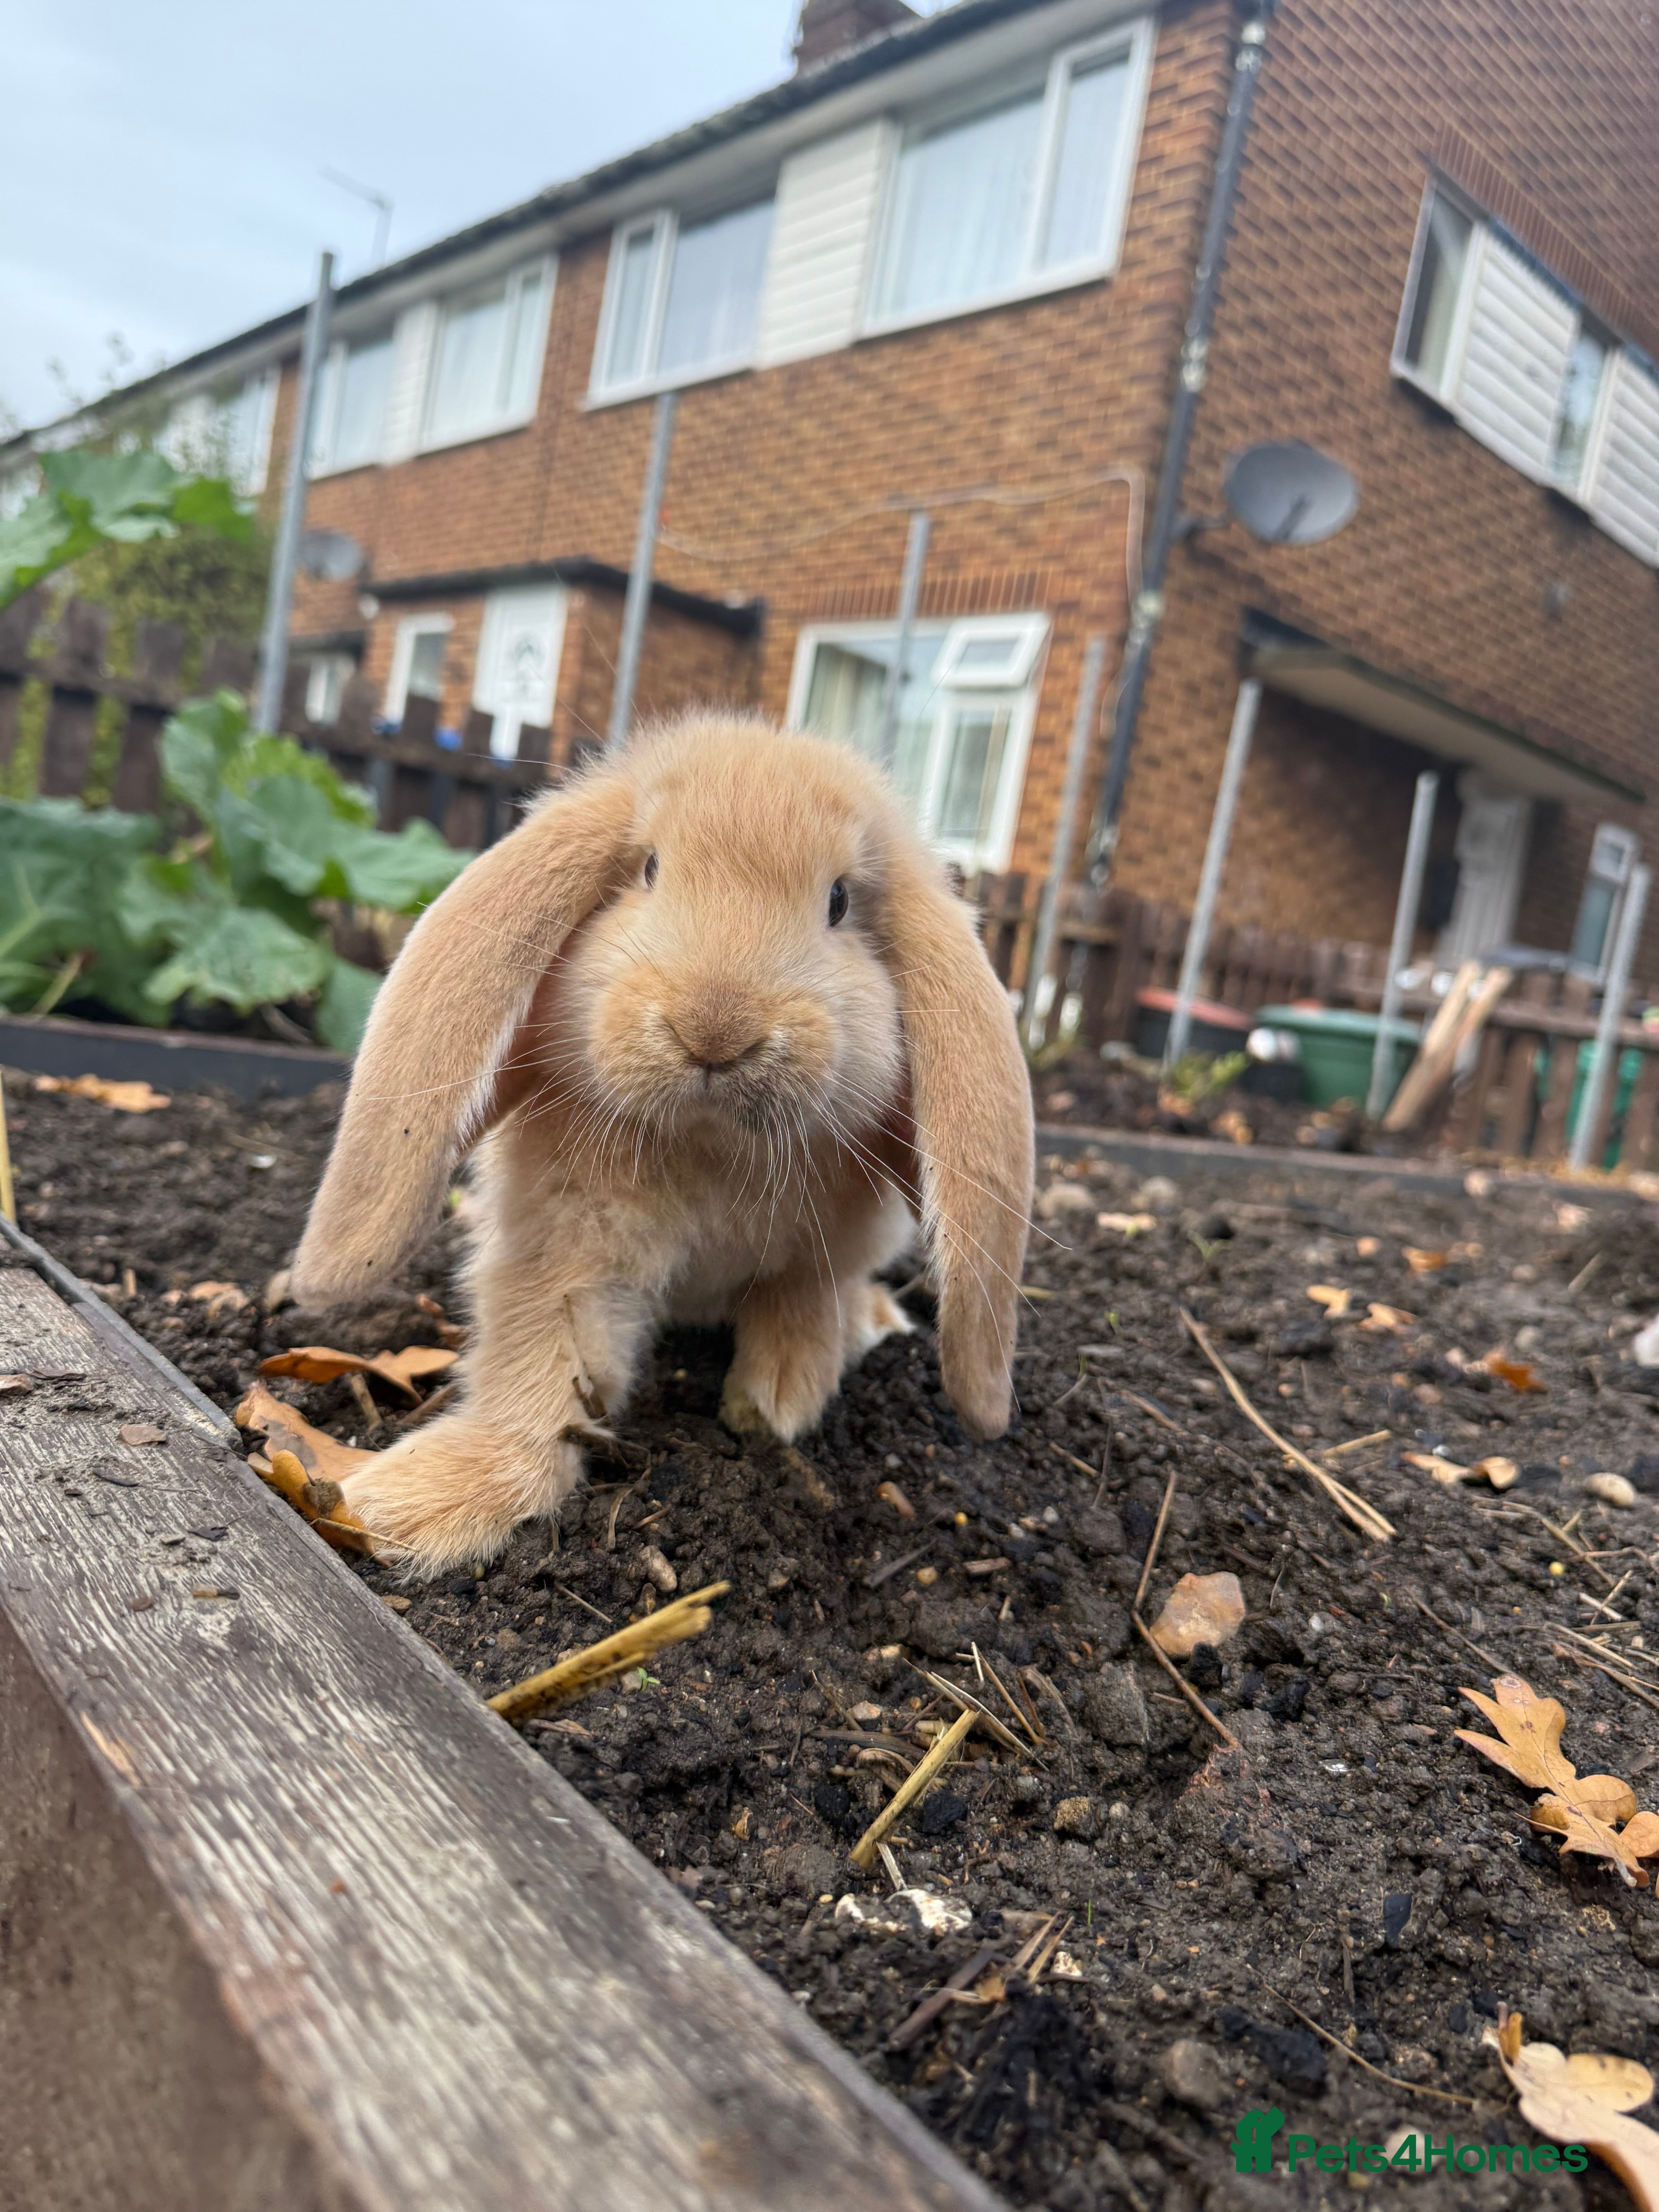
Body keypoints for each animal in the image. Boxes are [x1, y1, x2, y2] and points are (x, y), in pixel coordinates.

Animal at [290, 712, 1034, 1576]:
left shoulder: (818, 1251)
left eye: (840, 901)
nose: (715, 1028)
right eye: (648, 867)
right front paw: (417, 1508)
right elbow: (540, 1372)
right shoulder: (567, 1256)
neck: (712, 1146)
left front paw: (777, 1399)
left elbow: (799, 1297)